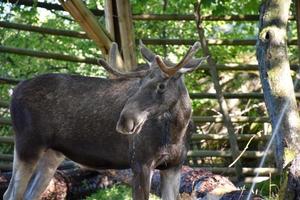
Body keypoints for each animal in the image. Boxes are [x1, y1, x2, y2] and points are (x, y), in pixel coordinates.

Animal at [3, 41, 206, 199]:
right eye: (139, 83)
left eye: (162, 86)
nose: (125, 120)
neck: (177, 132)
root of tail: (14, 92)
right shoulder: (140, 163)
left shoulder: (173, 167)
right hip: (27, 145)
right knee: (11, 194)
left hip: (52, 155)